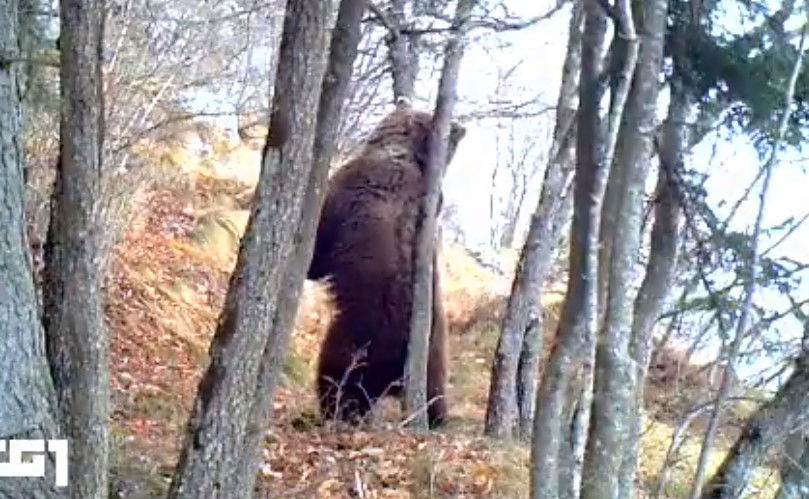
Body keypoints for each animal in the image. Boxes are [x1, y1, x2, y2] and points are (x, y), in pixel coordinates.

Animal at [306, 98, 466, 428]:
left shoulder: (351, 189)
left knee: (337, 377)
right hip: (434, 353)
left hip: (359, 333)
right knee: (434, 395)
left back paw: (331, 414)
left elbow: (318, 253)